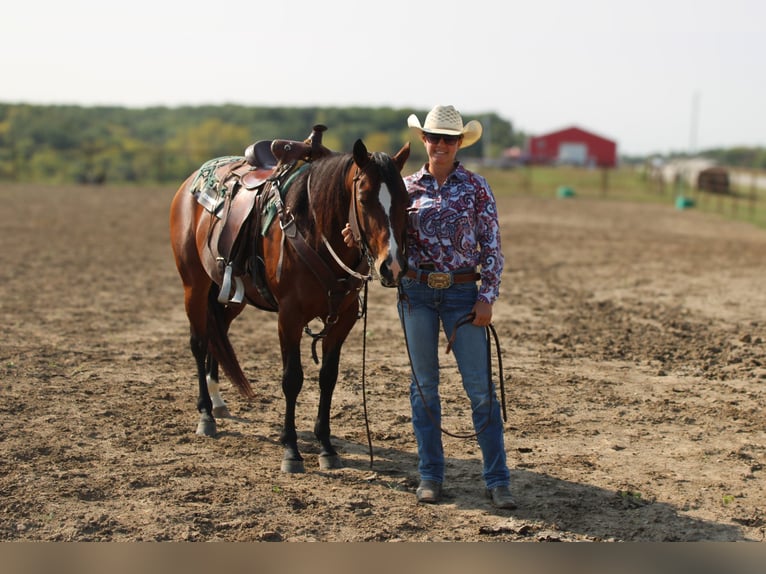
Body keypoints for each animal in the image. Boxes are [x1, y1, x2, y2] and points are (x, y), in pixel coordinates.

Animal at [169, 133, 410, 473]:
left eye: (406, 201)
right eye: (363, 198)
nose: (393, 266)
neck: (313, 229)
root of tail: (189, 185)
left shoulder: (344, 318)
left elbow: (328, 378)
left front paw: (326, 447)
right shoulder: (290, 317)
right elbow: (292, 379)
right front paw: (291, 450)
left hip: (231, 295)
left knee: (219, 334)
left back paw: (217, 402)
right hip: (194, 284)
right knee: (199, 341)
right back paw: (205, 414)